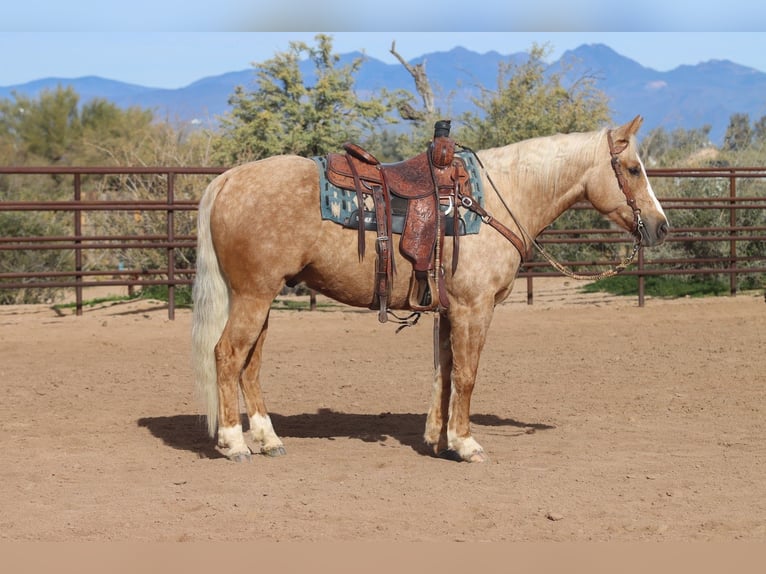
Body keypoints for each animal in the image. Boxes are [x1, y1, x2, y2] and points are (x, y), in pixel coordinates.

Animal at [191, 115, 669, 463]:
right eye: (632, 168)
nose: (661, 226)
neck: (497, 200)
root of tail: (228, 179)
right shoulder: (475, 308)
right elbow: (467, 374)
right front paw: (466, 444)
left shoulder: (448, 310)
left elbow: (445, 373)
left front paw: (438, 439)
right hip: (254, 296)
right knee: (227, 355)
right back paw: (234, 443)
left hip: (261, 297)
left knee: (250, 364)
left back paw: (269, 440)